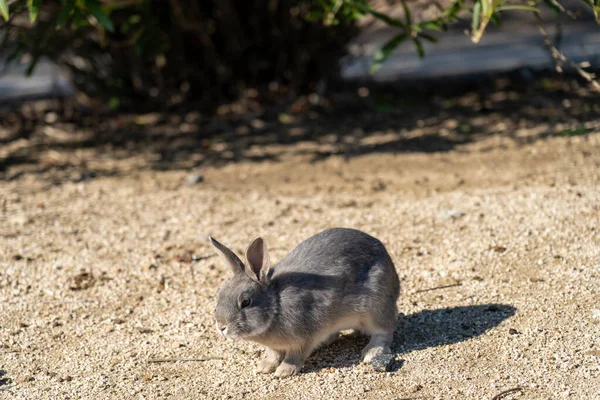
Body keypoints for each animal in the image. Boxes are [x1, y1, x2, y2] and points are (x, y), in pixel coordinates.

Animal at [209, 227, 400, 376]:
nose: (221, 327)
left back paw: (371, 352)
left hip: (376, 310)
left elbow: (294, 356)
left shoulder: (302, 339)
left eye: (246, 302)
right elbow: (273, 355)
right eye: (220, 294)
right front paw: (264, 367)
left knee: (384, 333)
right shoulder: (275, 347)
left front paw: (283, 371)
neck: (276, 304)